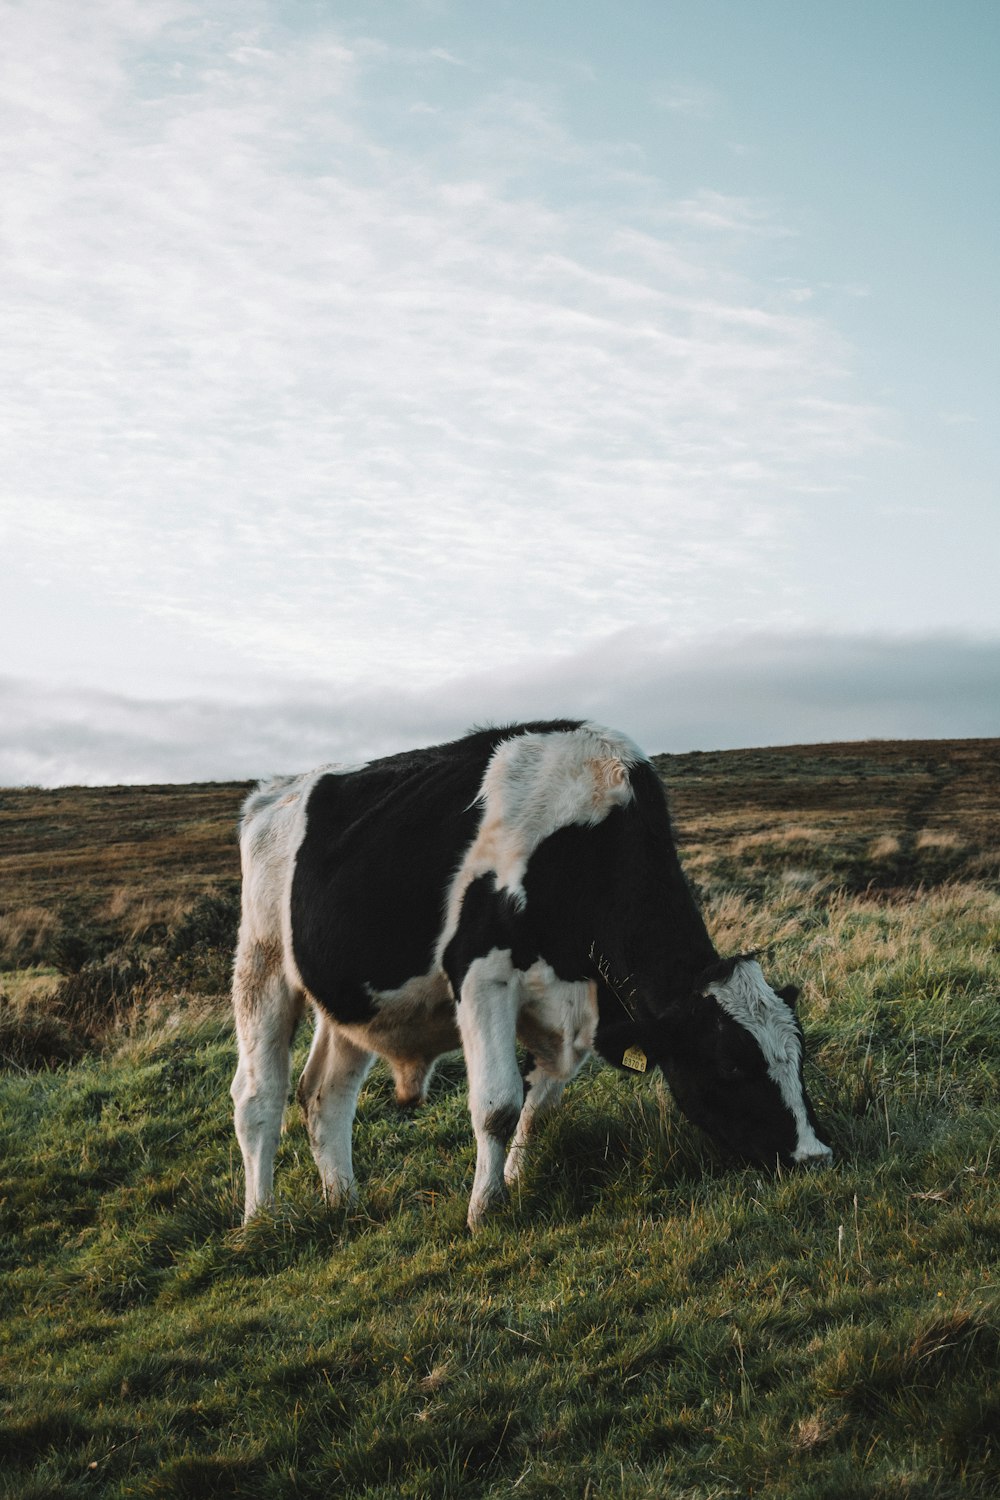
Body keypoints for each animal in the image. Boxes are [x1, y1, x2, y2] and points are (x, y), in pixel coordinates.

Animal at [230, 717, 833, 1230]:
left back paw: (345, 1203)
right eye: (730, 1065)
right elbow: (498, 1103)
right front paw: (485, 1210)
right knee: (259, 1096)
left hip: (352, 1001)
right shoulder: (481, 974)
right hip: (262, 962)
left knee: (324, 1094)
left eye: (799, 1055)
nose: (814, 1156)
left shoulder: (580, 1005)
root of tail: (272, 793)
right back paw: (260, 1219)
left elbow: (540, 1104)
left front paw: (514, 1181)